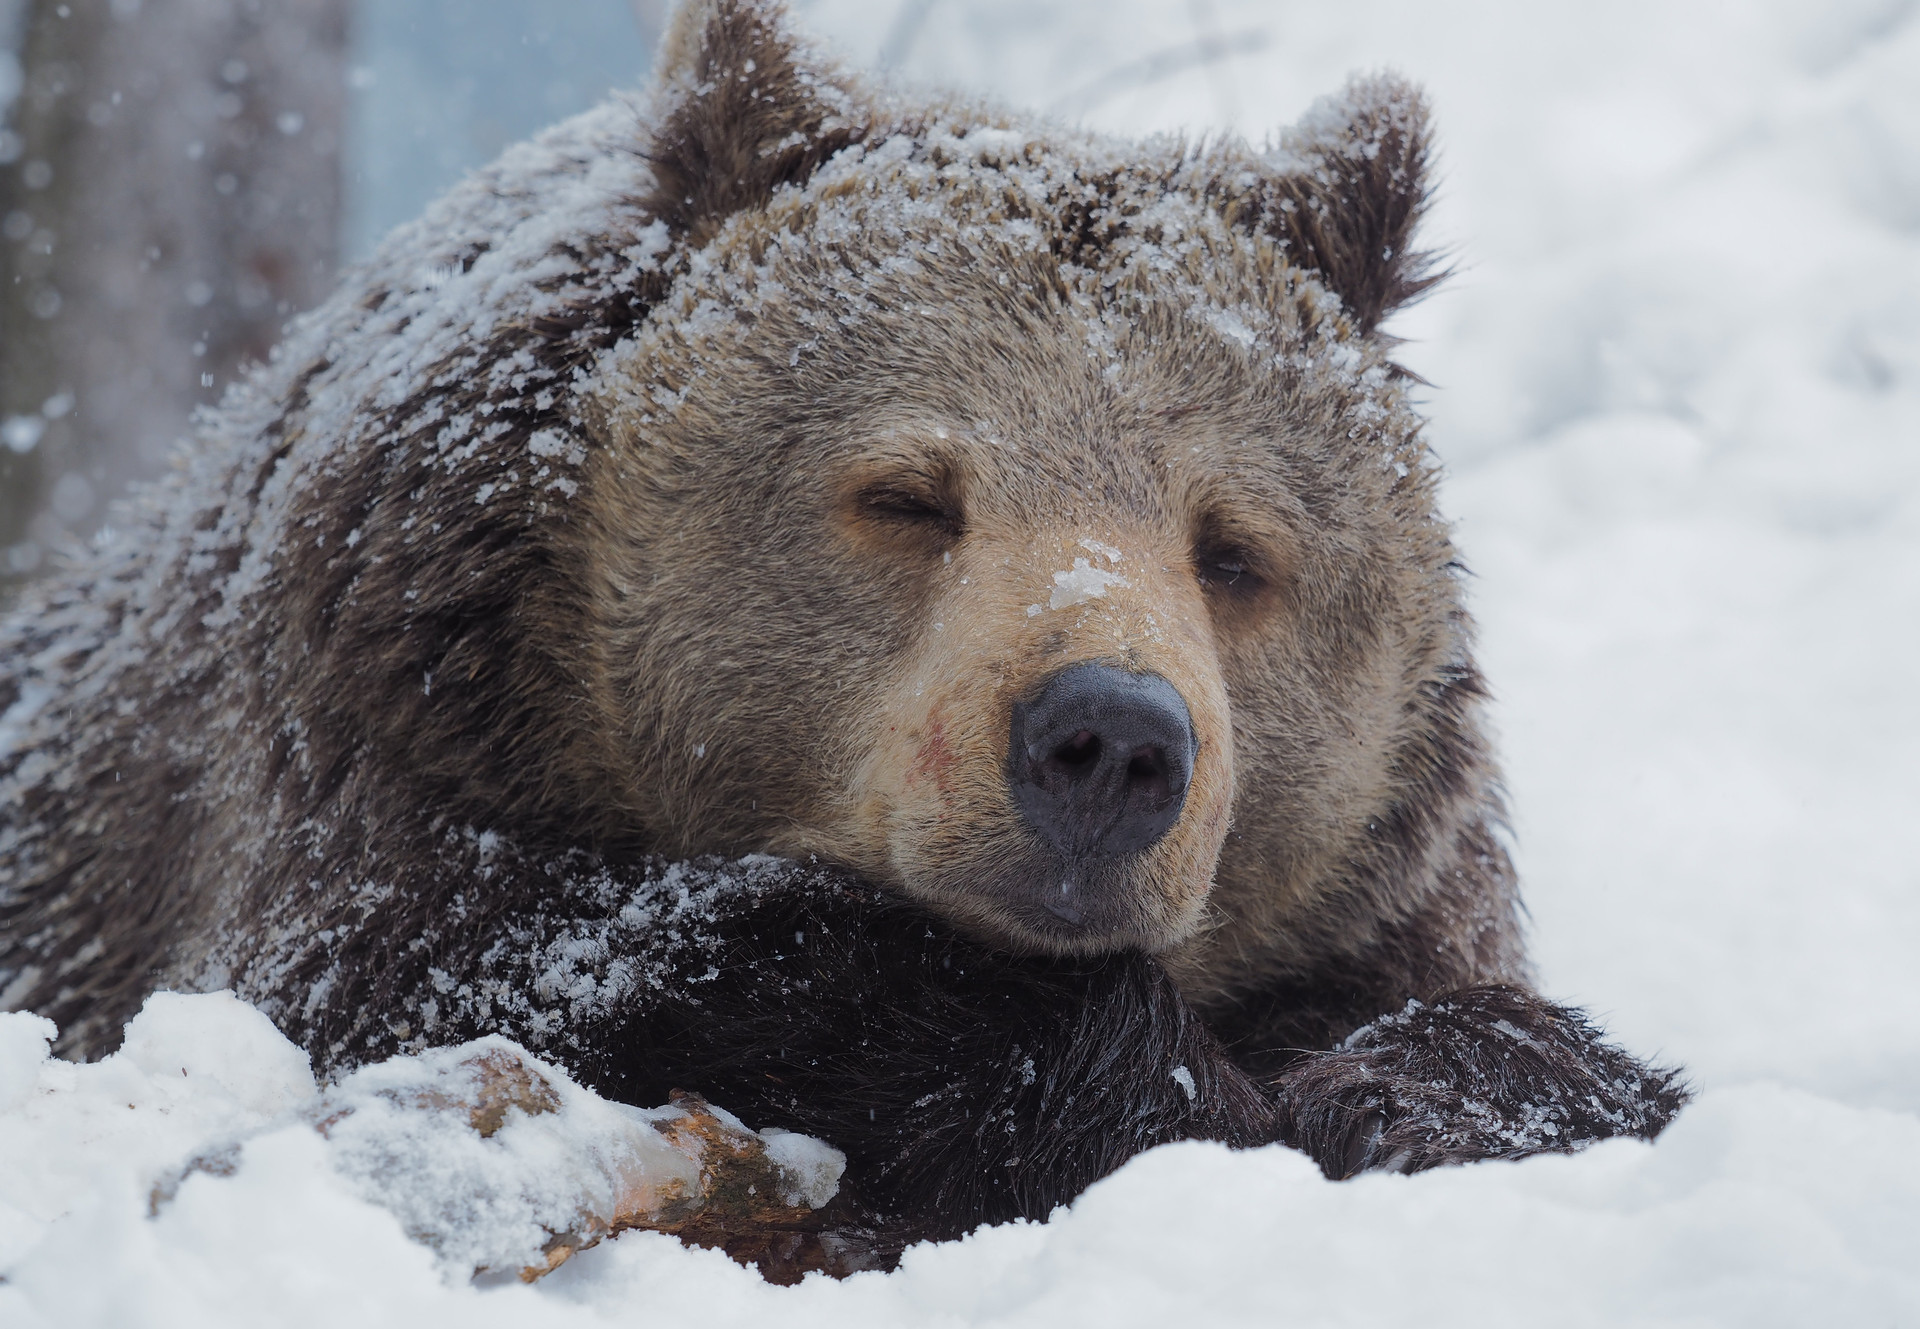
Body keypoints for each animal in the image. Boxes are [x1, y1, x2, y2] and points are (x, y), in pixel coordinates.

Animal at [0, 0, 1684, 1278]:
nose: (1108, 739)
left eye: (1233, 547)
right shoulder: (370, 762)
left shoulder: (1388, 891)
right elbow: (548, 967)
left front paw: (1421, 1092)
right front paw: (1162, 1087)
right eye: (909, 494)